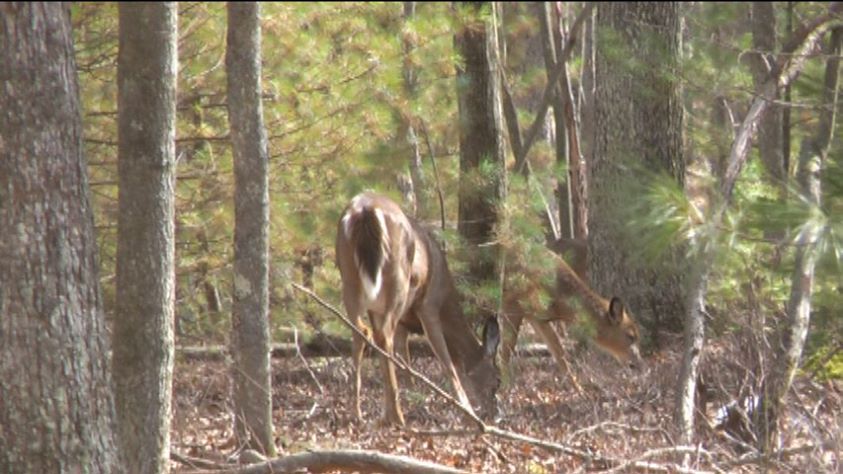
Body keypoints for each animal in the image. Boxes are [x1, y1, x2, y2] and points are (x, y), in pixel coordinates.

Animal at [335, 192, 501, 426]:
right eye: (497, 379)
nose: (498, 415)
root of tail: (366, 210)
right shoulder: (429, 306)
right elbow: (447, 362)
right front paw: (469, 415)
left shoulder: (393, 318)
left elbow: (404, 358)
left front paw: (399, 405)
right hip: (398, 279)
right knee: (382, 335)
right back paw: (397, 417)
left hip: (348, 275)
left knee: (361, 332)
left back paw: (358, 413)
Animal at [498, 238, 644, 381]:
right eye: (631, 336)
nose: (639, 363)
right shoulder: (514, 304)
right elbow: (506, 351)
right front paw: (504, 385)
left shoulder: (537, 318)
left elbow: (559, 354)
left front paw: (580, 388)